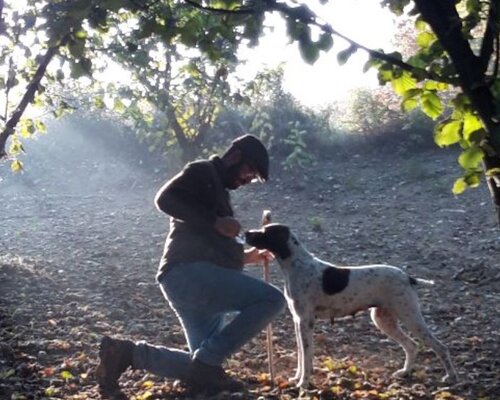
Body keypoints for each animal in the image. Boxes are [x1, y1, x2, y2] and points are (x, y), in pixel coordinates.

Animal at [244, 222, 458, 388]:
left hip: (409, 316)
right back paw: (404, 372)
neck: (297, 265)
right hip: (384, 320)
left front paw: (303, 384)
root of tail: (408, 277)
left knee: (440, 347)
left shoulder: (306, 322)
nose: (245, 233)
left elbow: (306, 357)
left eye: (265, 232)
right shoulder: (298, 322)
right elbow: (301, 357)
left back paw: (451, 377)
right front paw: (297, 378)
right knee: (412, 346)